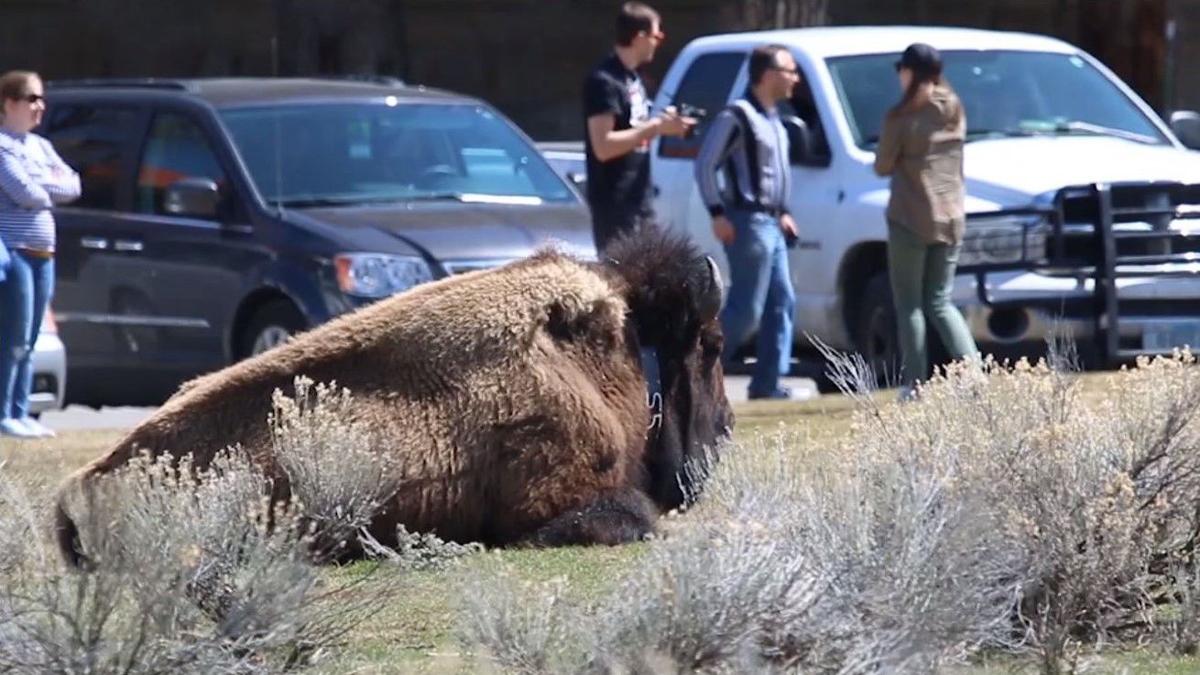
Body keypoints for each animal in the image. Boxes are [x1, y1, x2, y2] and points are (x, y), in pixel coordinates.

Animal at [54, 225, 734, 566]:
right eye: (713, 343)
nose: (727, 427)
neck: (617, 350)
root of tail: (76, 488)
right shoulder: (573, 497)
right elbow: (626, 519)